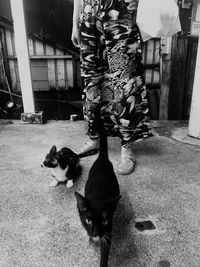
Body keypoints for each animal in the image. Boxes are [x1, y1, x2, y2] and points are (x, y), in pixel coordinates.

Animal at [74, 102, 120, 267]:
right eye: (88, 220)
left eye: (104, 221)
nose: (94, 233)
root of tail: (102, 158)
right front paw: (90, 239)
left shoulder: (108, 230)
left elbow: (105, 253)